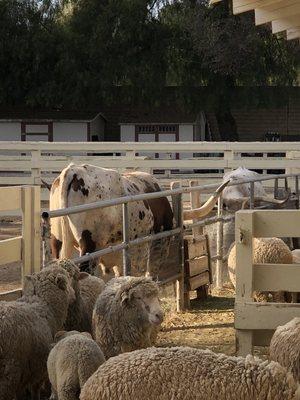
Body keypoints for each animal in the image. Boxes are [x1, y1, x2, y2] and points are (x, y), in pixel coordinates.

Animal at [0, 266, 77, 400]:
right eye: (68, 279)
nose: (74, 296)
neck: (45, 305)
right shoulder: (39, 366)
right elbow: (35, 388)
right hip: (8, 373)